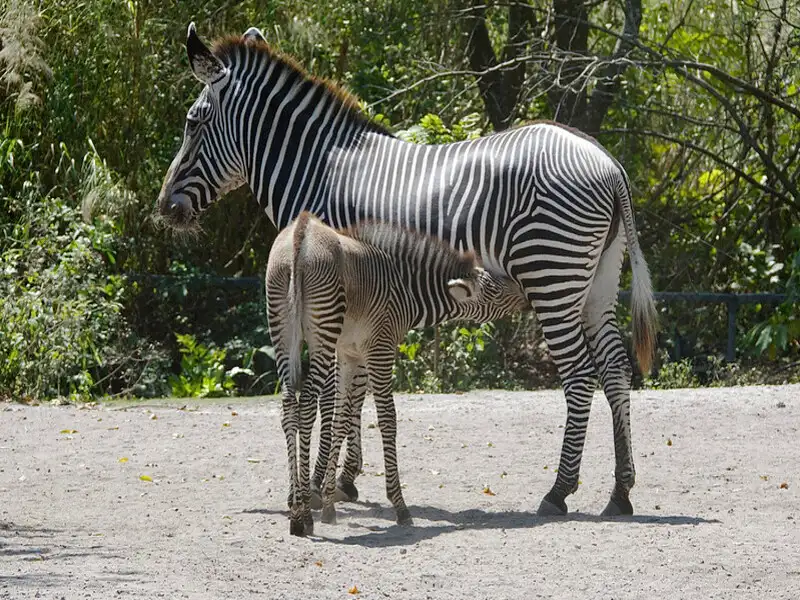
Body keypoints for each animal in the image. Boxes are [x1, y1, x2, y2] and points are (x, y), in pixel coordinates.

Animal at [268, 211, 528, 536]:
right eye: (493, 290)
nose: (526, 296)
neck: (405, 288)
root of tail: (301, 233)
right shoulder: (380, 348)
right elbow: (387, 420)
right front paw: (399, 506)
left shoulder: (350, 352)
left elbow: (341, 419)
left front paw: (328, 505)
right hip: (321, 334)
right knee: (306, 408)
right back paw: (302, 516)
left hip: (282, 328)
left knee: (289, 408)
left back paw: (295, 505)